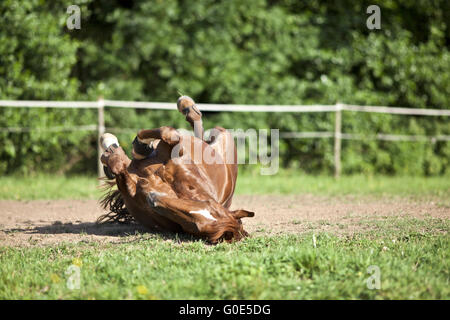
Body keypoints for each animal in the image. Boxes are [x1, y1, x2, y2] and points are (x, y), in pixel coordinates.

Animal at [98, 95, 253, 242]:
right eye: (209, 205)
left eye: (195, 225)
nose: (153, 199)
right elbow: (169, 134)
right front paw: (136, 146)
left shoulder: (128, 184)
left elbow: (118, 165)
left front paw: (111, 148)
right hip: (217, 134)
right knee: (199, 132)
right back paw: (187, 106)